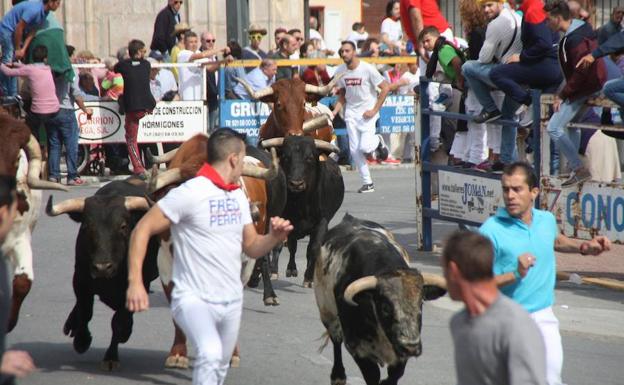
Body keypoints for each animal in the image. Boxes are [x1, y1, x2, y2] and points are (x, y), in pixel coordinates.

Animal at [46, 177, 158, 368]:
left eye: (123, 226)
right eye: (86, 226)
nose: (102, 267)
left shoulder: (134, 286)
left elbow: (119, 322)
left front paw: (111, 356)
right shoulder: (80, 280)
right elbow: (85, 310)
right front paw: (82, 340)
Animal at [314, 213, 446, 384]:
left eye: (420, 303)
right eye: (385, 307)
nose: (410, 346)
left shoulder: (399, 356)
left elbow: (394, 375)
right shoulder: (358, 348)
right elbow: (372, 376)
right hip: (327, 313)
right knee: (336, 340)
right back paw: (338, 376)